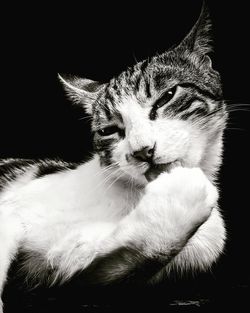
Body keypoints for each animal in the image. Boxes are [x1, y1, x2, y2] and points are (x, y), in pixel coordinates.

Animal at [0, 3, 227, 310]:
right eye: (109, 130)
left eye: (167, 96)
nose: (142, 151)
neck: (129, 198)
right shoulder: (12, 210)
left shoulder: (53, 270)